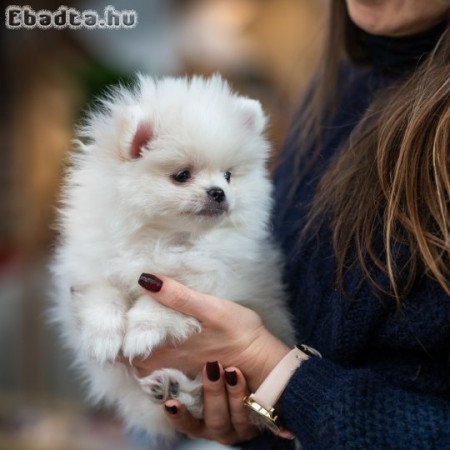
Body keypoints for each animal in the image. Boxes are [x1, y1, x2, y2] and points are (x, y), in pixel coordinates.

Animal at [51, 75, 296, 438]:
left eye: (228, 175)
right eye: (182, 175)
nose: (219, 192)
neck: (164, 237)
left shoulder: (212, 278)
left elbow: (162, 303)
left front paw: (141, 332)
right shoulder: (93, 264)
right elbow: (103, 296)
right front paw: (103, 338)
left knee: (201, 398)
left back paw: (176, 387)